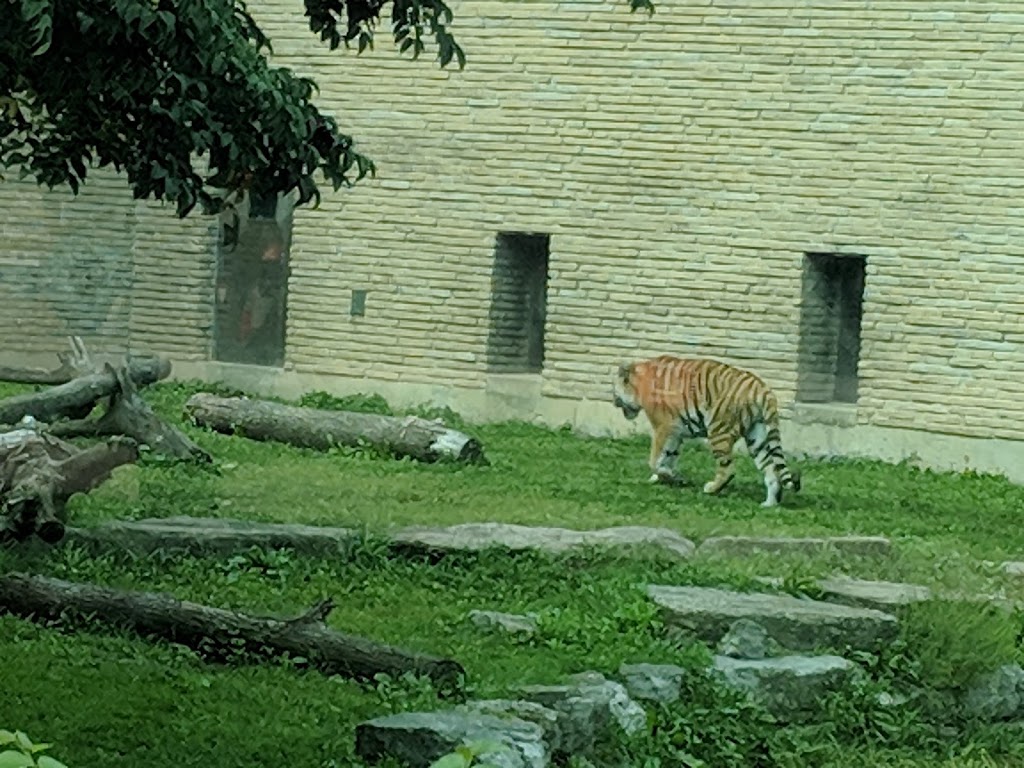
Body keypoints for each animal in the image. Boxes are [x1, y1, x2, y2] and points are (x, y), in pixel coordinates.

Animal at [610, 356, 802, 512]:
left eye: (614, 390)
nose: (613, 402)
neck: (640, 383)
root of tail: (762, 389)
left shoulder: (663, 427)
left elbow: (654, 460)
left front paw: (671, 476)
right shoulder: (676, 433)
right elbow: (668, 457)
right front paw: (665, 477)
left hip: (718, 430)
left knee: (728, 469)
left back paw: (711, 488)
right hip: (757, 437)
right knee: (771, 470)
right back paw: (769, 503)